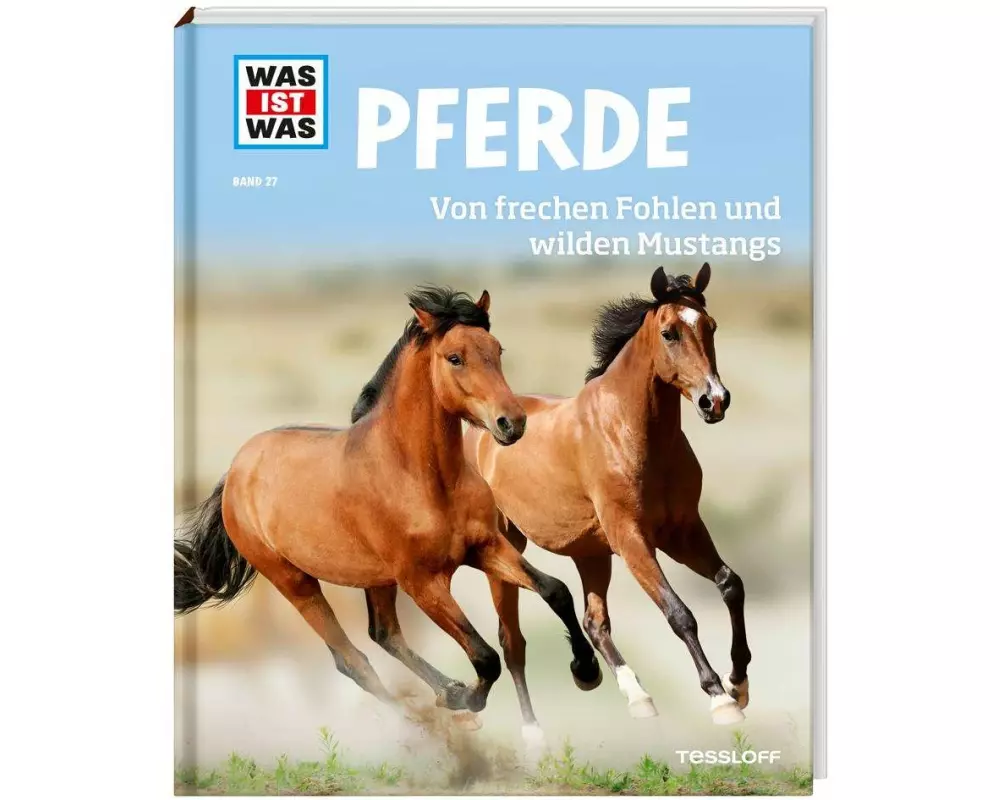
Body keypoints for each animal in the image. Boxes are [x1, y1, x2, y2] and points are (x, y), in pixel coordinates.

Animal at [174, 286, 600, 741]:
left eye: (496, 349)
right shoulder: (422, 581)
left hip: (375, 579)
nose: (512, 423)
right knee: (353, 660)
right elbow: (485, 656)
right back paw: (430, 723)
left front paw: (586, 670)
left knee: (384, 635)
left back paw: (445, 695)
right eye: (455, 357)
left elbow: (555, 590)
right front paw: (466, 699)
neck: (422, 476)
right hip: (295, 583)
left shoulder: (485, 547)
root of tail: (236, 471)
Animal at [464, 264, 750, 730]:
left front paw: (738, 683)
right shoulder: (632, 538)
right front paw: (718, 697)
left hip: (591, 553)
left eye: (710, 326)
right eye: (669, 332)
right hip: (506, 547)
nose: (715, 400)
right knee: (512, 642)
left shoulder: (683, 531)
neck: (631, 432)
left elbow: (731, 585)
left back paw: (633, 694)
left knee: (594, 622)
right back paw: (533, 731)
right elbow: (679, 613)